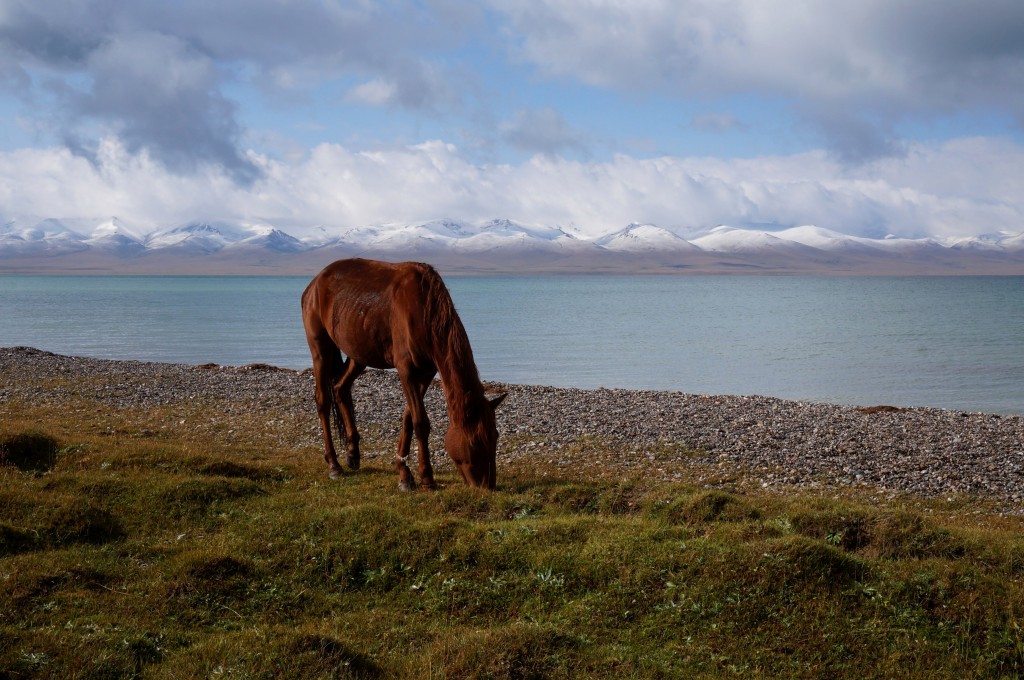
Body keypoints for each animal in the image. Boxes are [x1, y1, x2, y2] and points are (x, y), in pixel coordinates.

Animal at [299, 259, 505, 489]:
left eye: (495, 436)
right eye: (475, 442)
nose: (488, 485)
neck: (425, 310)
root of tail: (315, 283)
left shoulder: (426, 372)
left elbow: (408, 419)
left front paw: (403, 471)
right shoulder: (406, 370)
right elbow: (420, 422)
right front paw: (425, 478)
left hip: (358, 355)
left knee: (340, 388)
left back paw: (353, 454)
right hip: (320, 349)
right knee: (323, 401)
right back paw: (333, 465)